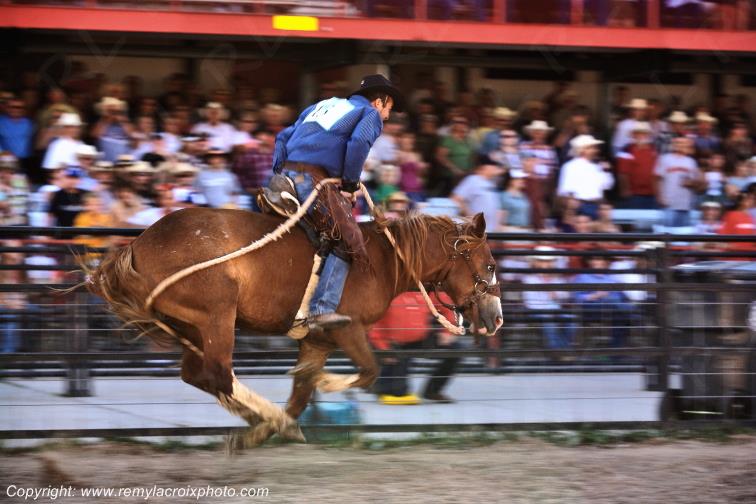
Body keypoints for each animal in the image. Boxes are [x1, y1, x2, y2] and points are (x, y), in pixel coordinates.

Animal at [87, 209, 503, 446]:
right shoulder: (345, 329)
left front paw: (286, 417)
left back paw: (261, 421)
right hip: (217, 314)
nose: (497, 317)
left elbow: (301, 395)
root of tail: (139, 244)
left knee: (199, 374)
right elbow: (369, 370)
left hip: (190, 325)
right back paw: (261, 416)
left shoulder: (318, 340)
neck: (383, 260)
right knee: (219, 373)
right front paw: (328, 384)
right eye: (490, 264)